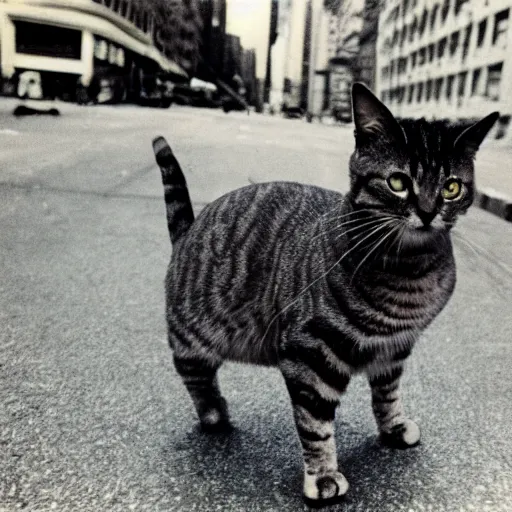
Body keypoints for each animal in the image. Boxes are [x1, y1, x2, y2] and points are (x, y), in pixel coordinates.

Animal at [152, 83, 500, 504]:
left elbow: (387, 395)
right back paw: (213, 413)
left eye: (451, 187)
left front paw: (393, 427)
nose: (429, 212)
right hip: (192, 340)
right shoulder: (310, 355)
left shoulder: (395, 348)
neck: (409, 270)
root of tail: (188, 229)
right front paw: (322, 474)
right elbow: (314, 423)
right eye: (398, 182)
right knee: (197, 379)